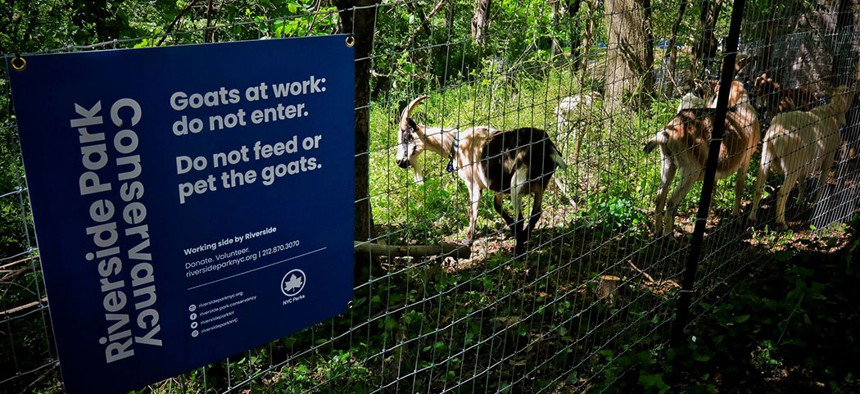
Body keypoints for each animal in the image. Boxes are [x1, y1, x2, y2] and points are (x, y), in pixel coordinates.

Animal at [644, 81, 760, 235]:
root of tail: (666, 134)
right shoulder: (745, 160)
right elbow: (739, 190)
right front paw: (736, 218)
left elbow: (712, 191)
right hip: (690, 170)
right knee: (671, 202)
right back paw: (668, 235)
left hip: (668, 164)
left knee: (660, 197)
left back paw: (658, 232)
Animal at [744, 86, 852, 228]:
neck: (832, 112)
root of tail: (777, 135)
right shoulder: (828, 156)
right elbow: (821, 183)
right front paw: (816, 203)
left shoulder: (804, 166)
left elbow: (802, 185)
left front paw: (799, 203)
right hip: (792, 167)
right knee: (782, 193)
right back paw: (781, 223)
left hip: (765, 159)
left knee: (758, 189)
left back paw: (752, 218)